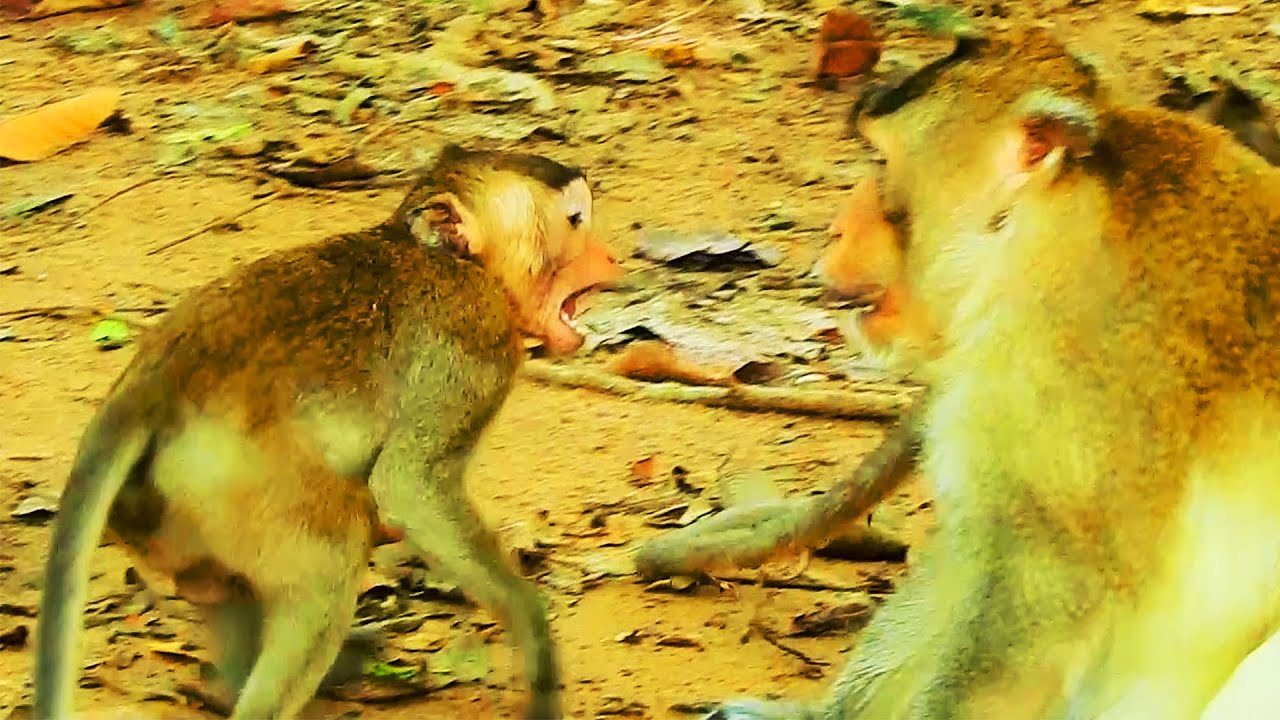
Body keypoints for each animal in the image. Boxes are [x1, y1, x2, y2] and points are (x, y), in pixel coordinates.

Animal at [32, 143, 622, 720]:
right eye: (575, 220)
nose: (611, 257)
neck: (455, 262)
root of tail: (152, 385)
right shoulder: (476, 338)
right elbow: (408, 486)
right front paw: (537, 645)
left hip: (163, 513)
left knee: (220, 585)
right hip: (234, 485)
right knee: (335, 549)